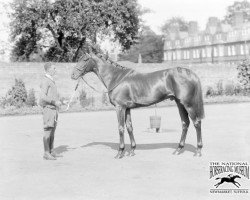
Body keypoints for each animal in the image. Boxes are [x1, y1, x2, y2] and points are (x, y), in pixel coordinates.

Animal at [71, 52, 205, 159]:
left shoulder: (120, 107)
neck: (116, 78)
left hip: (188, 104)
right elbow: (129, 127)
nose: (73, 75)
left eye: (84, 60)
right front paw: (132, 151)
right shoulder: (127, 108)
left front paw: (120, 152)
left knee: (196, 123)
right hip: (179, 104)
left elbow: (121, 128)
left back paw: (198, 151)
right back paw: (178, 149)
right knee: (185, 123)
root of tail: (190, 73)